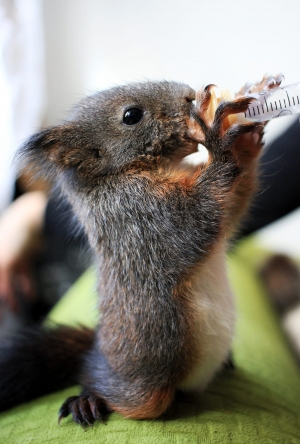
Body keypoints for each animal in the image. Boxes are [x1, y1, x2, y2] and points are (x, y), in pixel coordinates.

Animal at [0, 76, 282, 426]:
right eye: (131, 116)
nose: (190, 96)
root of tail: (97, 349)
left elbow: (235, 204)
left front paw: (244, 141)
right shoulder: (138, 216)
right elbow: (195, 222)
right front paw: (219, 140)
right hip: (146, 380)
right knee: (105, 384)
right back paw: (87, 399)